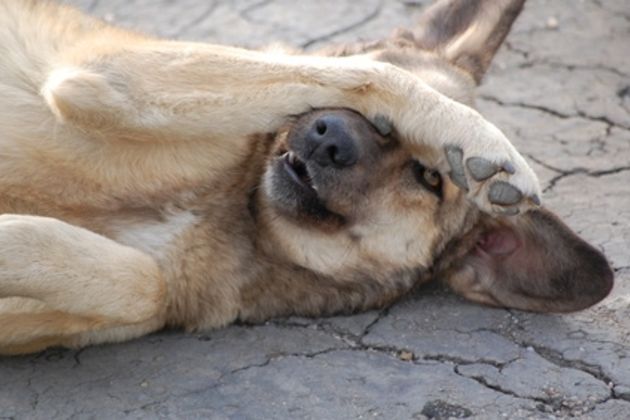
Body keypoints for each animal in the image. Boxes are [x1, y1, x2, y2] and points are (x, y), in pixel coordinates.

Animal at [0, 0, 612, 354]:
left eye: (426, 178)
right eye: (374, 123)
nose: (328, 137)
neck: (238, 211)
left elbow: (145, 285)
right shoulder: (109, 76)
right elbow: (364, 71)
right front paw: (473, 135)